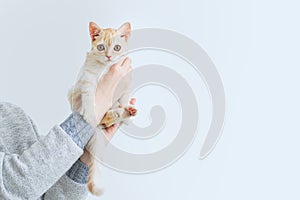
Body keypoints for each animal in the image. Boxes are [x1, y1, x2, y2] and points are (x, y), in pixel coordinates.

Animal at [67, 21, 136, 195]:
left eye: (117, 48)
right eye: (101, 47)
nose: (109, 57)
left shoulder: (126, 81)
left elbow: (125, 96)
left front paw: (126, 107)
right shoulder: (87, 78)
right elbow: (90, 97)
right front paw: (91, 114)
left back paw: (126, 113)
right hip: (72, 93)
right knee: (101, 117)